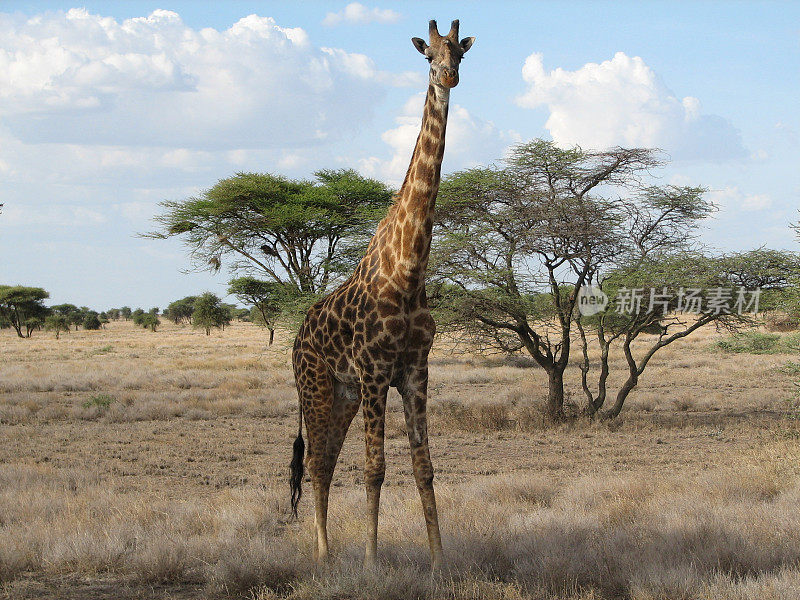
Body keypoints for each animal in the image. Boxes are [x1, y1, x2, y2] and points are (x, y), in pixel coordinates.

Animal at [290, 19, 472, 572]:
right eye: (427, 54)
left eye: (460, 52)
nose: (448, 76)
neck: (408, 272)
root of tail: (295, 338)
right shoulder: (374, 369)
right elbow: (375, 468)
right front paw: (372, 562)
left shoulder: (414, 368)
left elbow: (423, 466)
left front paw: (439, 560)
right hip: (316, 386)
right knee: (315, 463)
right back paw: (324, 556)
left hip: (343, 394)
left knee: (325, 461)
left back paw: (328, 553)